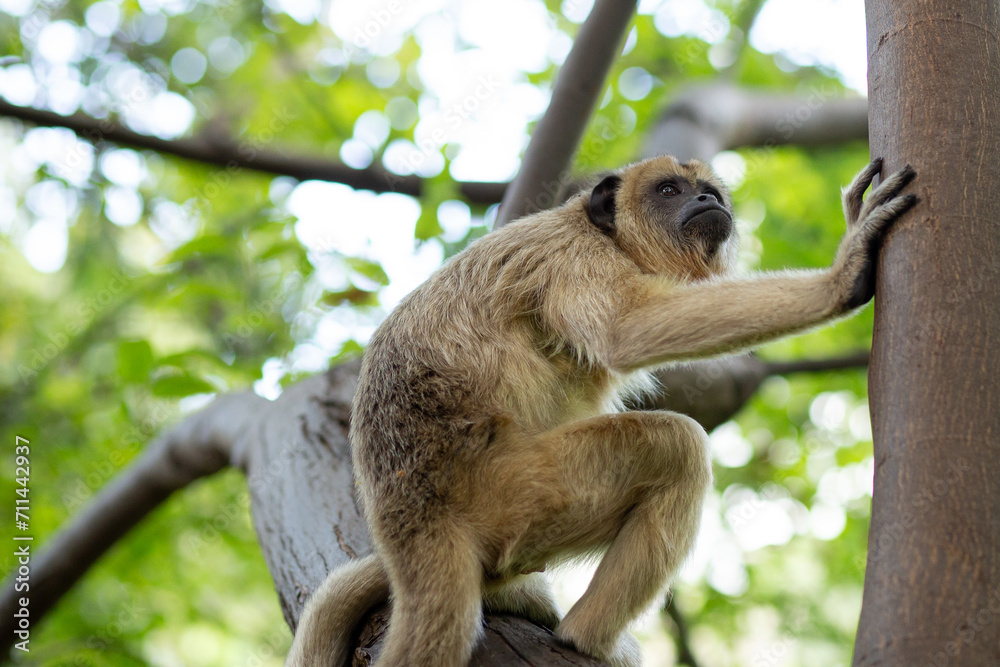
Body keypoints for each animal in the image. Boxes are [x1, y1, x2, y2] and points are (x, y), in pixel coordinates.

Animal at [286, 155, 917, 667]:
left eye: (709, 190)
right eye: (669, 189)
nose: (708, 202)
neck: (611, 238)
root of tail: (412, 512)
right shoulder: (574, 259)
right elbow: (626, 331)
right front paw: (843, 273)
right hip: (515, 492)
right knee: (677, 446)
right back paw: (585, 639)